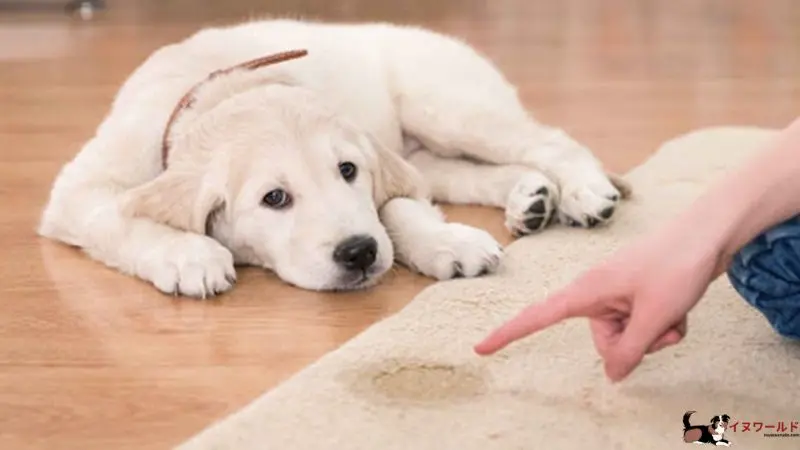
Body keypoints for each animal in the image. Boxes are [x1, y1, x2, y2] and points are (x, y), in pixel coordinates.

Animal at [37, 18, 628, 298]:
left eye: (348, 171)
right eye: (274, 198)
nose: (359, 253)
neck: (224, 85)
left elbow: (395, 209)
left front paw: (445, 242)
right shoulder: (79, 190)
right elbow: (120, 217)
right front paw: (189, 255)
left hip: (447, 106)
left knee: (551, 140)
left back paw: (583, 192)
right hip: (428, 151)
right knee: (467, 174)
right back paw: (531, 198)